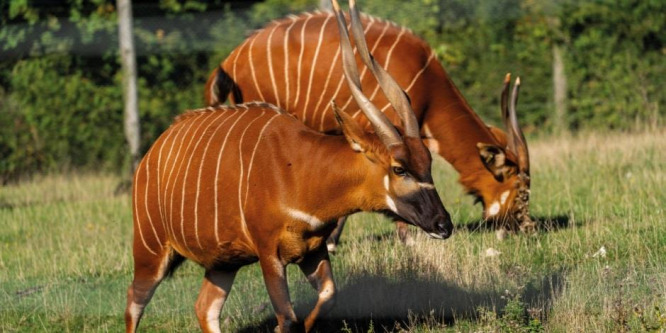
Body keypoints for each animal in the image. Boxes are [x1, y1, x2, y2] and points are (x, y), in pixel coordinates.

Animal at [124, 3, 452, 330]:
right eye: (399, 168)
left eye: (428, 161)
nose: (443, 224)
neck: (303, 171)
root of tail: (151, 154)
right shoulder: (269, 254)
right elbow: (288, 316)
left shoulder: (313, 250)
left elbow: (327, 296)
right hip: (151, 251)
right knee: (134, 302)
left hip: (224, 264)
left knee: (204, 308)